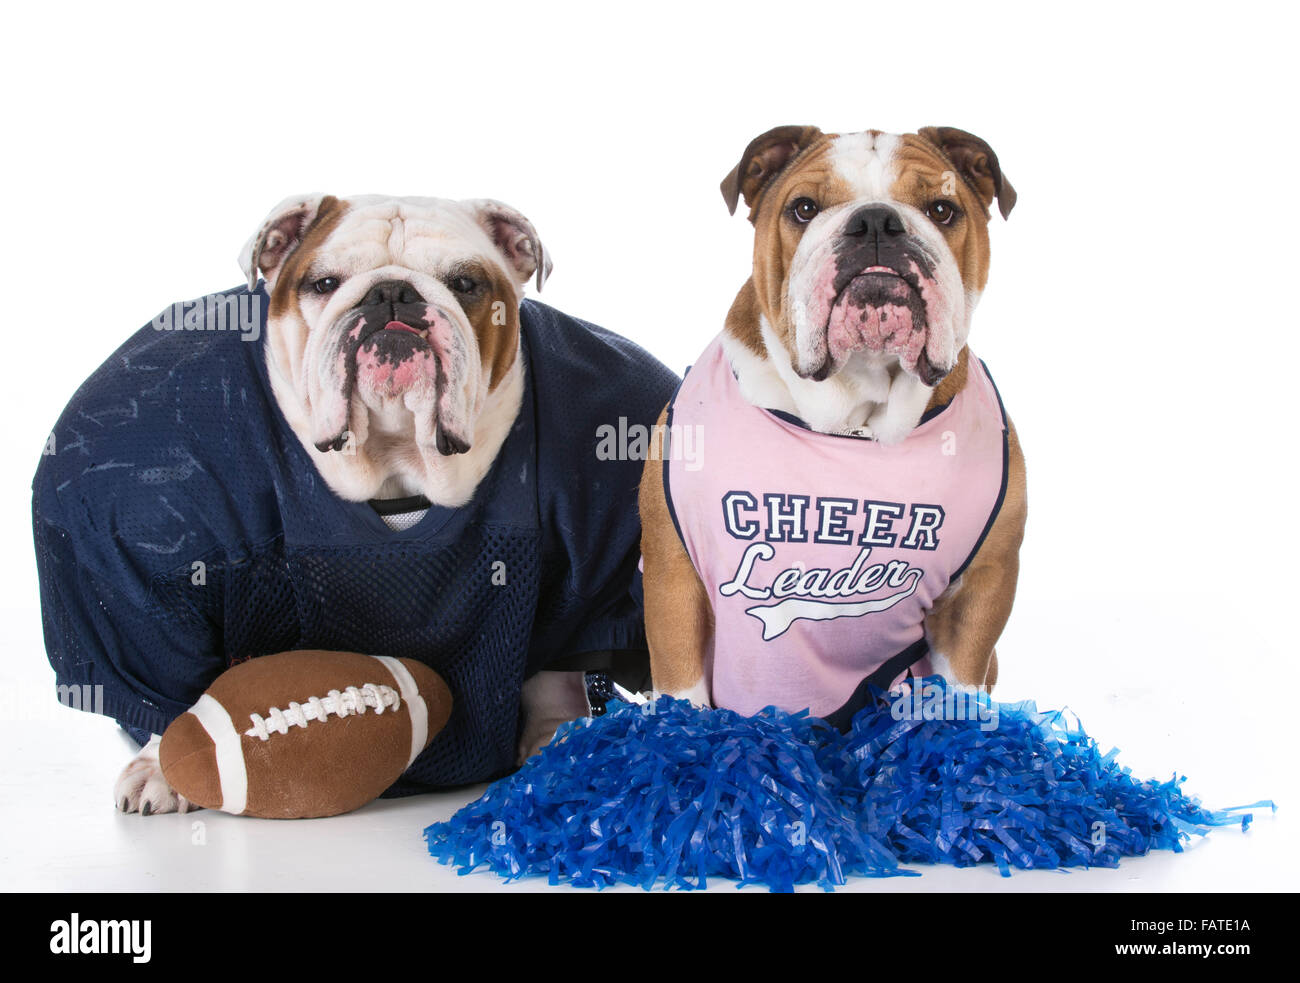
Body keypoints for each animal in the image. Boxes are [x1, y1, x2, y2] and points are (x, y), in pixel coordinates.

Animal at [637, 124, 1024, 722]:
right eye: (803, 208)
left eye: (942, 209)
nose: (877, 222)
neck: (858, 412)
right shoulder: (673, 579)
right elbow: (684, 697)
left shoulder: (981, 588)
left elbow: (957, 693)